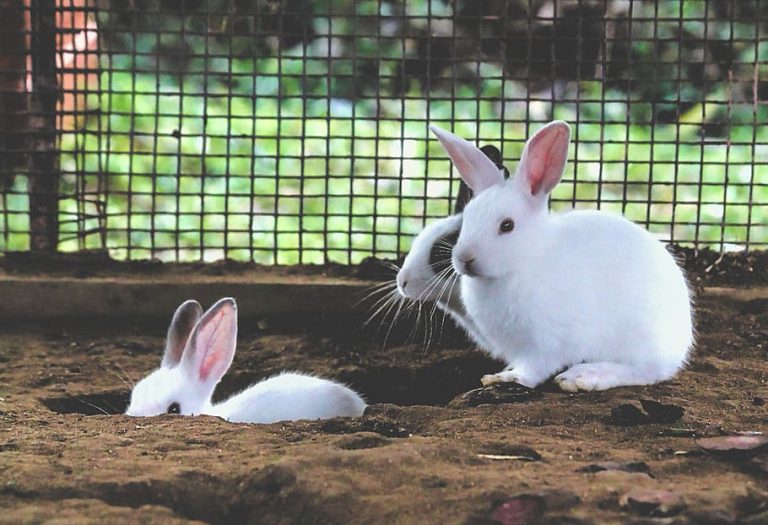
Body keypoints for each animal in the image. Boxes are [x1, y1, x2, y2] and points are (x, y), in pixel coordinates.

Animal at [430, 121, 694, 392]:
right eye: (468, 218)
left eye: (507, 225)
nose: (464, 258)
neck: (525, 261)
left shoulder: (545, 342)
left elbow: (535, 368)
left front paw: (509, 378)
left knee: (642, 372)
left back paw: (584, 376)